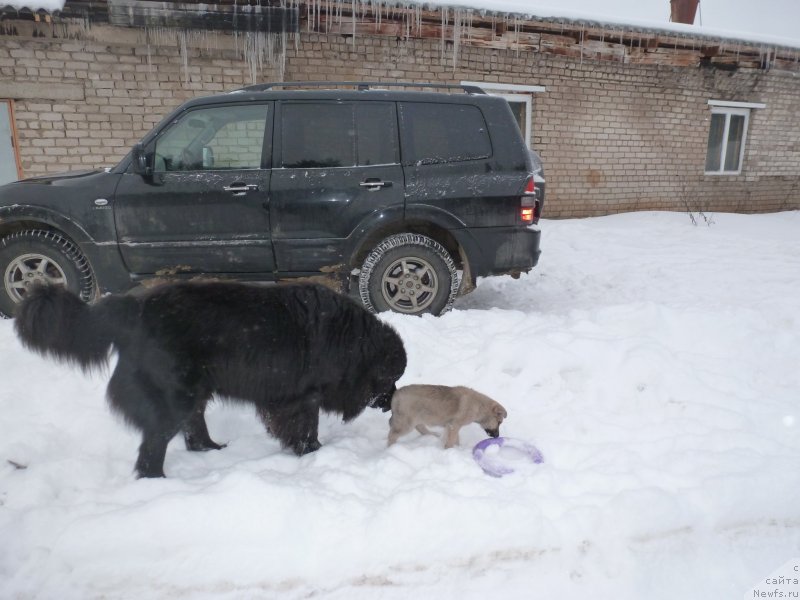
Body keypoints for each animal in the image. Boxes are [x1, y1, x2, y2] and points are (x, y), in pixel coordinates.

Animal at [17, 282, 406, 478]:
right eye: (390, 378)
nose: (392, 402)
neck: (348, 340)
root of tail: (133, 307)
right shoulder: (300, 396)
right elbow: (305, 426)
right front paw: (312, 452)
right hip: (173, 396)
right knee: (152, 446)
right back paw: (157, 481)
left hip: (194, 390)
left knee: (193, 428)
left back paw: (210, 448)